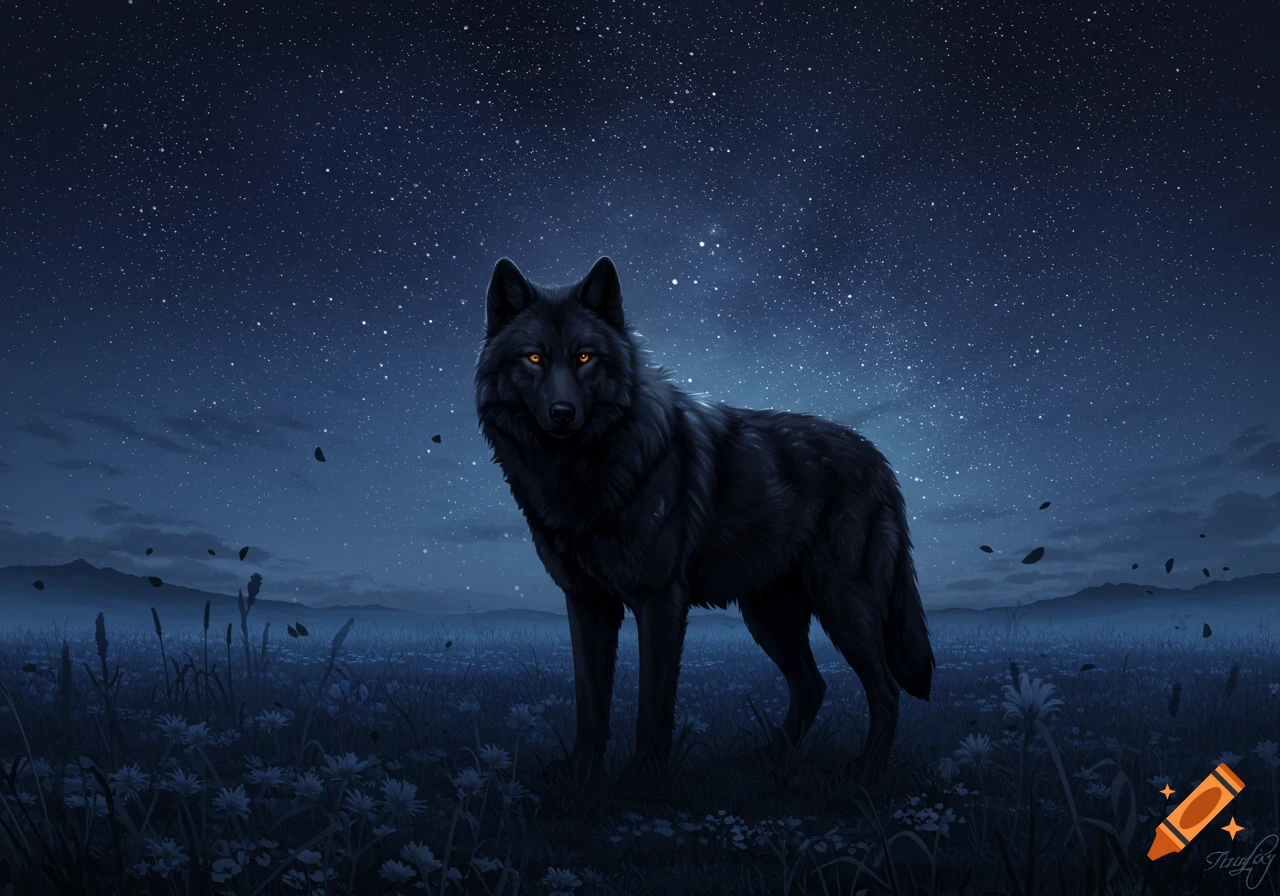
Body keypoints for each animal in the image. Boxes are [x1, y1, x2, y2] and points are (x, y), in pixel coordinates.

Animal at [474, 256, 935, 786]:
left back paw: (865, 770)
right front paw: (580, 773)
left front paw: (642, 777)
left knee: (884, 688)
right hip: (768, 616)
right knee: (811, 686)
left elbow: (653, 704)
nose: (562, 413)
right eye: (533, 358)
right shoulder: (587, 602)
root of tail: (880, 460)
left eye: (585, 357)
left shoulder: (660, 600)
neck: (583, 470)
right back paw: (767, 761)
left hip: (841, 603)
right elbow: (590, 701)